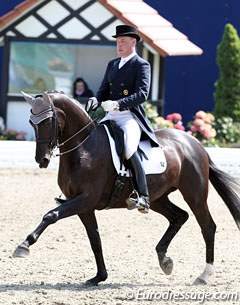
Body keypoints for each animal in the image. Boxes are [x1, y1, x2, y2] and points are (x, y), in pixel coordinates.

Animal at [13, 91, 240, 284]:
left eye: (47, 121)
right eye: (31, 122)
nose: (42, 160)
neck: (84, 146)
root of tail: (195, 143)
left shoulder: (85, 199)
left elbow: (51, 215)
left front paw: (23, 246)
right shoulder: (84, 206)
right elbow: (95, 239)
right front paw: (99, 277)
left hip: (195, 195)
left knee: (207, 226)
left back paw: (204, 274)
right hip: (157, 198)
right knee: (179, 216)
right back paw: (164, 260)